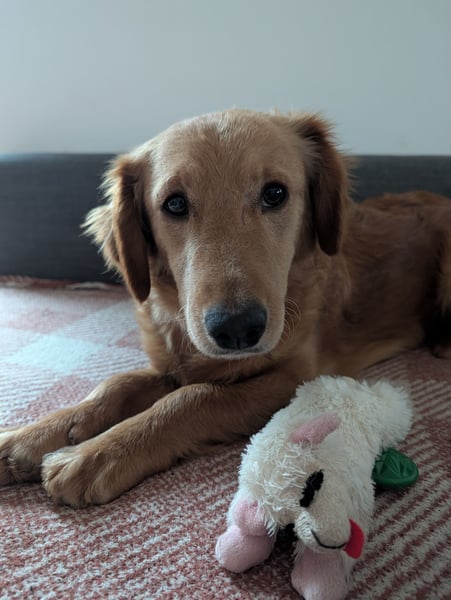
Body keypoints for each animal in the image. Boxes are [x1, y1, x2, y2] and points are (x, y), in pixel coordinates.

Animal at [1, 109, 450, 507]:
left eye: (275, 193)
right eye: (175, 204)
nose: (236, 329)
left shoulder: (295, 376)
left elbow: (193, 398)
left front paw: (96, 455)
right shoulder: (174, 363)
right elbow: (118, 384)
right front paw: (36, 436)